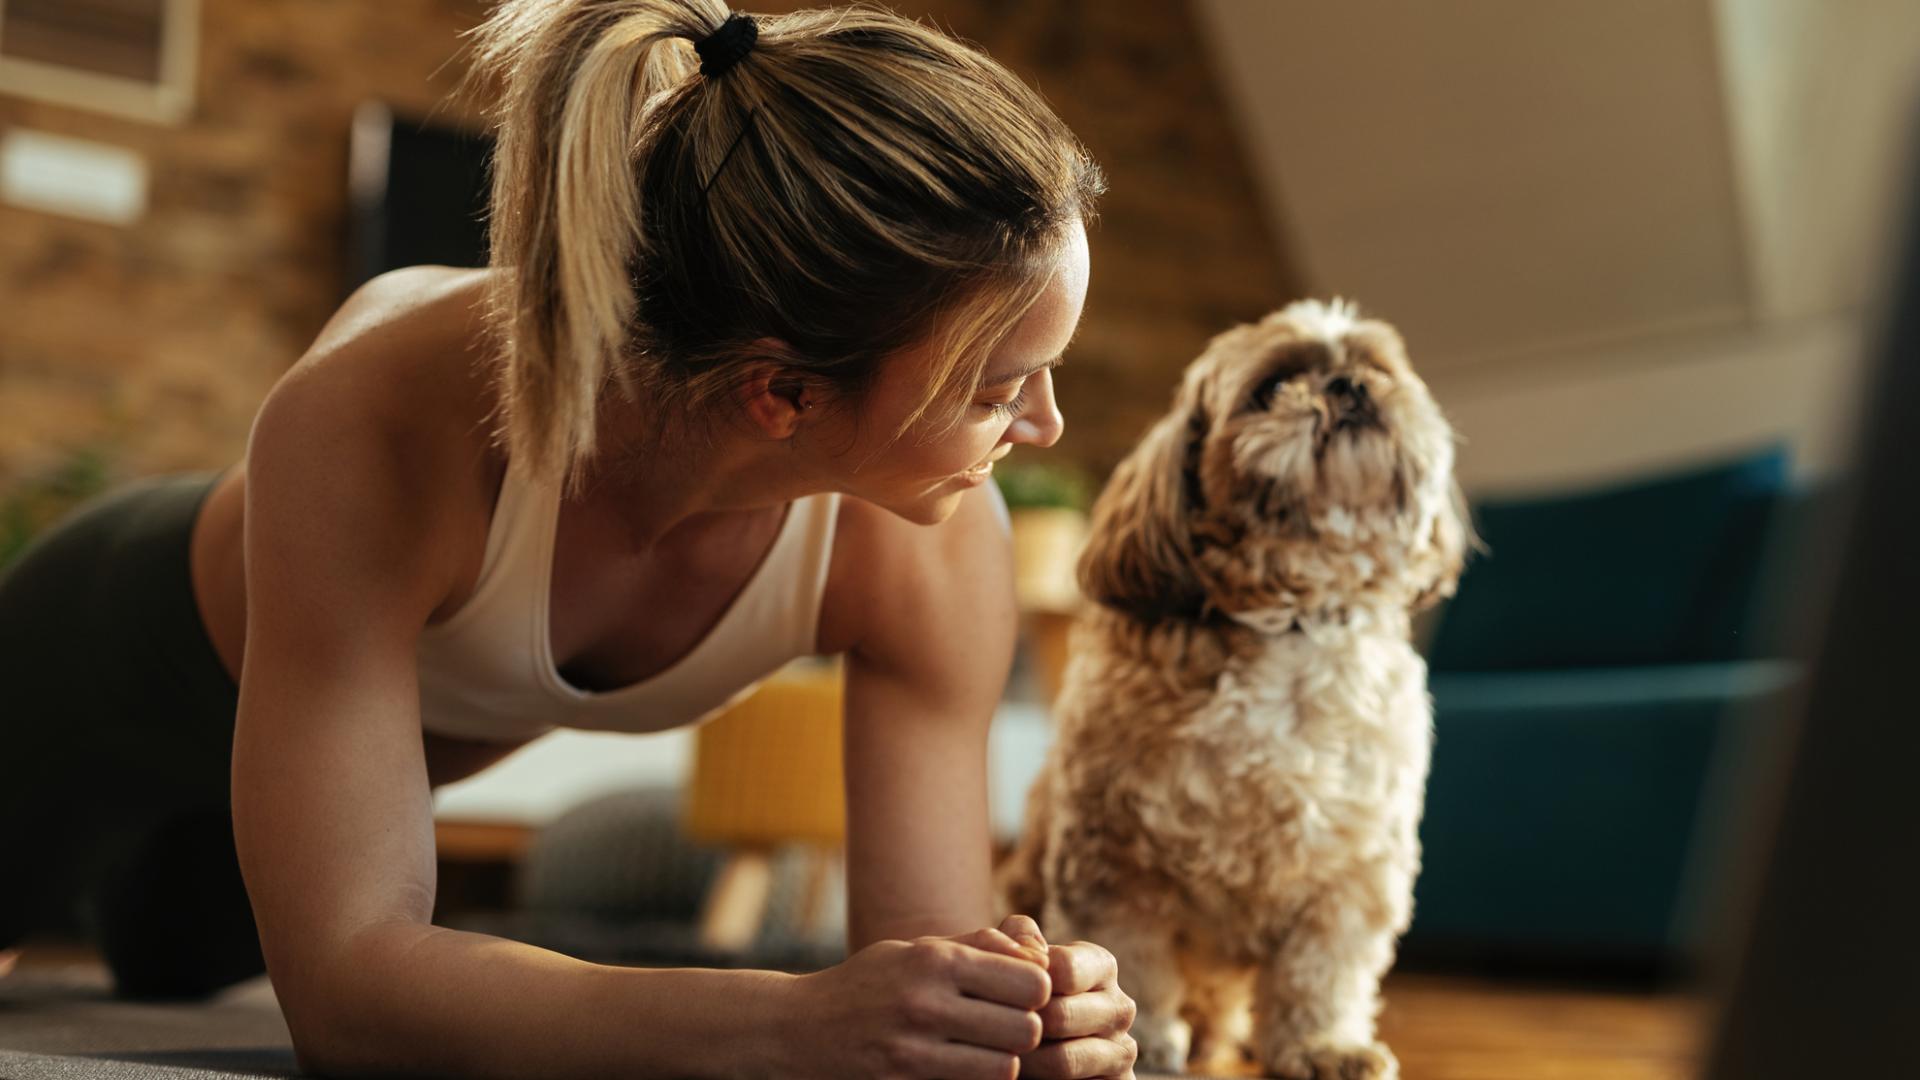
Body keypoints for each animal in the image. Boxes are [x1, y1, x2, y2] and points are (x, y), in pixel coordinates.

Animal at [1006, 297, 1466, 1068]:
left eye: (1376, 368)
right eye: (1271, 387)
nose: (1349, 386)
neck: (1294, 623)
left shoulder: (1352, 873)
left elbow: (1323, 971)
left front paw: (1322, 1045)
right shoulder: (1114, 863)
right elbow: (1133, 959)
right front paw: (1145, 1042)